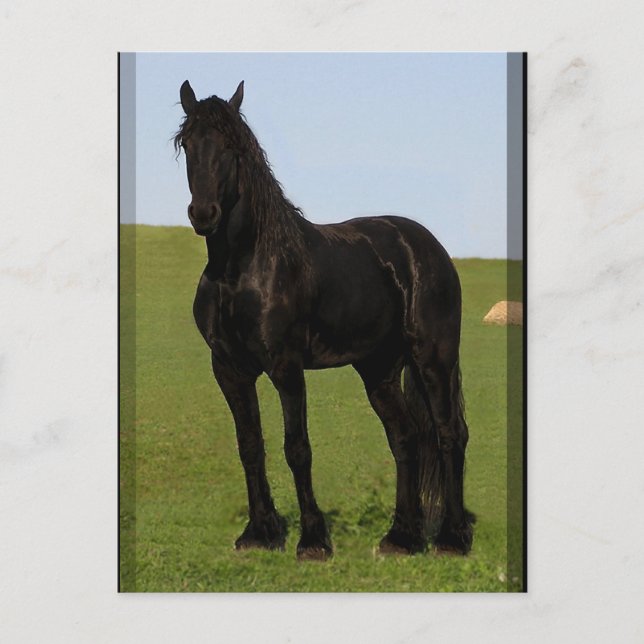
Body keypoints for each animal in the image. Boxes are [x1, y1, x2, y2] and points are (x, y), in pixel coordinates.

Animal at [174, 80, 474, 561]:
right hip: (379, 370)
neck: (242, 269)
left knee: (450, 434)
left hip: (434, 359)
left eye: (232, 147)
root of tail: (425, 245)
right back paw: (401, 538)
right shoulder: (229, 369)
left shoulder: (286, 367)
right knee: (406, 437)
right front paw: (259, 533)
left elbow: (297, 447)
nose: (204, 215)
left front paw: (313, 541)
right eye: (187, 144)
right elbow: (250, 445)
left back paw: (451, 538)